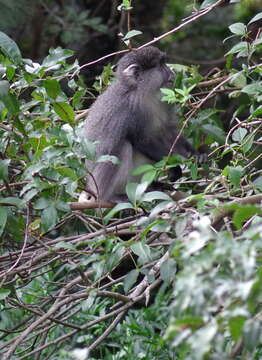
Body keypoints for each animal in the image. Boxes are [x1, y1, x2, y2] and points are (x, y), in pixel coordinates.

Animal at [79, 45, 206, 205]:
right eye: (160, 65)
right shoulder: (129, 109)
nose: (172, 72)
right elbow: (141, 140)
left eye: (164, 62)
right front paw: (175, 168)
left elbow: (168, 132)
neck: (144, 93)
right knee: (122, 146)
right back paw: (111, 196)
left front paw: (196, 155)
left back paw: (154, 186)